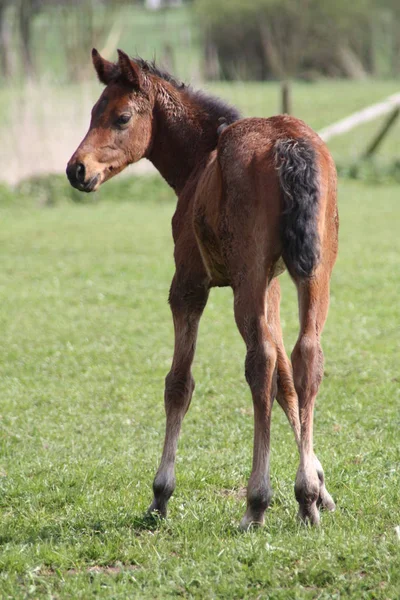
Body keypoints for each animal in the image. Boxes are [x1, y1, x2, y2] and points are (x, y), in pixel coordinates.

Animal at [68, 51, 338, 528]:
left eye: (121, 117)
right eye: (92, 113)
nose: (76, 170)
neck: (200, 162)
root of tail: (288, 144)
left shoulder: (189, 283)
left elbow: (179, 383)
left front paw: (160, 493)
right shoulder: (272, 285)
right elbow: (287, 382)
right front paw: (318, 489)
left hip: (245, 279)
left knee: (259, 363)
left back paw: (256, 501)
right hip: (313, 272)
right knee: (307, 356)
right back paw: (303, 497)